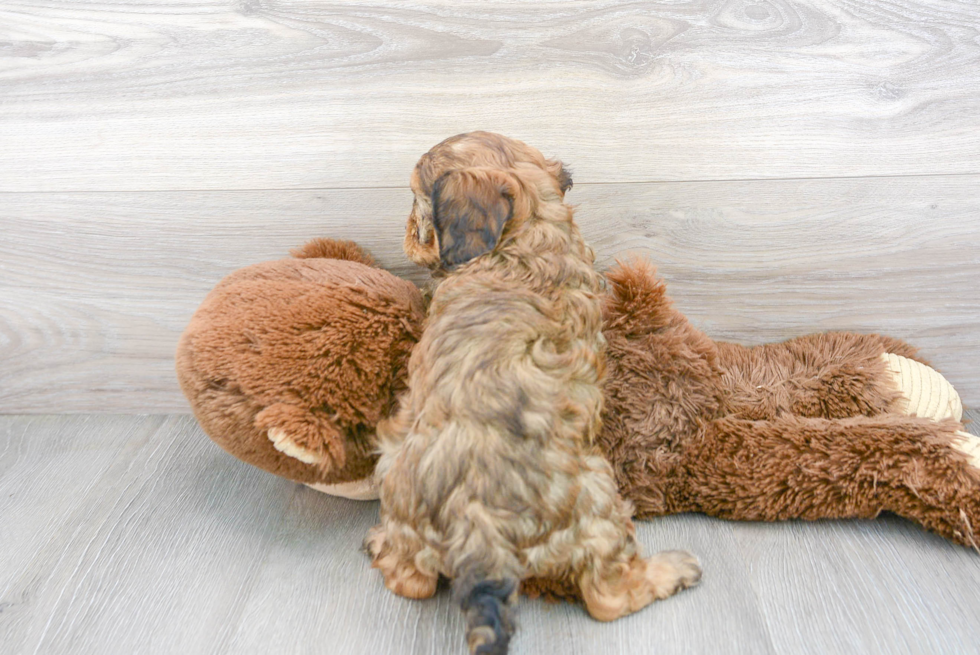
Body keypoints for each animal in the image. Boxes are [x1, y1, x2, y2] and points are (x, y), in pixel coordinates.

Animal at [366, 131, 696, 652]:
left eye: (418, 205)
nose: (405, 228)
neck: (530, 234)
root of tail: (476, 517)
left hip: (396, 467)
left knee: (410, 580)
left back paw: (382, 547)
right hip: (597, 499)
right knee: (607, 597)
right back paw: (670, 571)